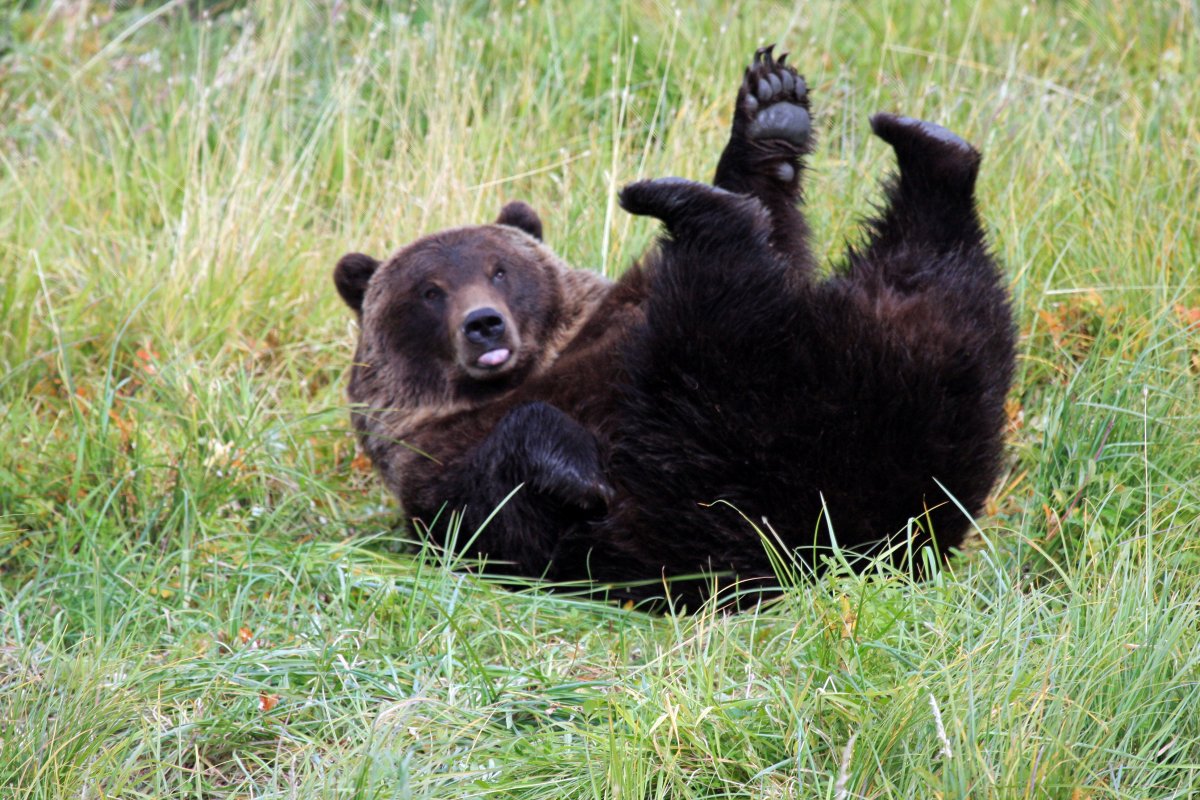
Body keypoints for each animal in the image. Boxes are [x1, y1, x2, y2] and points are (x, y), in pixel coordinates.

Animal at [334, 46, 1015, 610]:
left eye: (499, 269)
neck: (533, 369)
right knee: (726, 317)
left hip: (906, 379)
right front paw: (576, 469)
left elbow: (779, 228)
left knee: (941, 279)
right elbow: (501, 503)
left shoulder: (618, 315)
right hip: (726, 449)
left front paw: (771, 109)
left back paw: (921, 145)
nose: (484, 326)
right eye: (429, 291)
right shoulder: (438, 475)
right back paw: (692, 206)